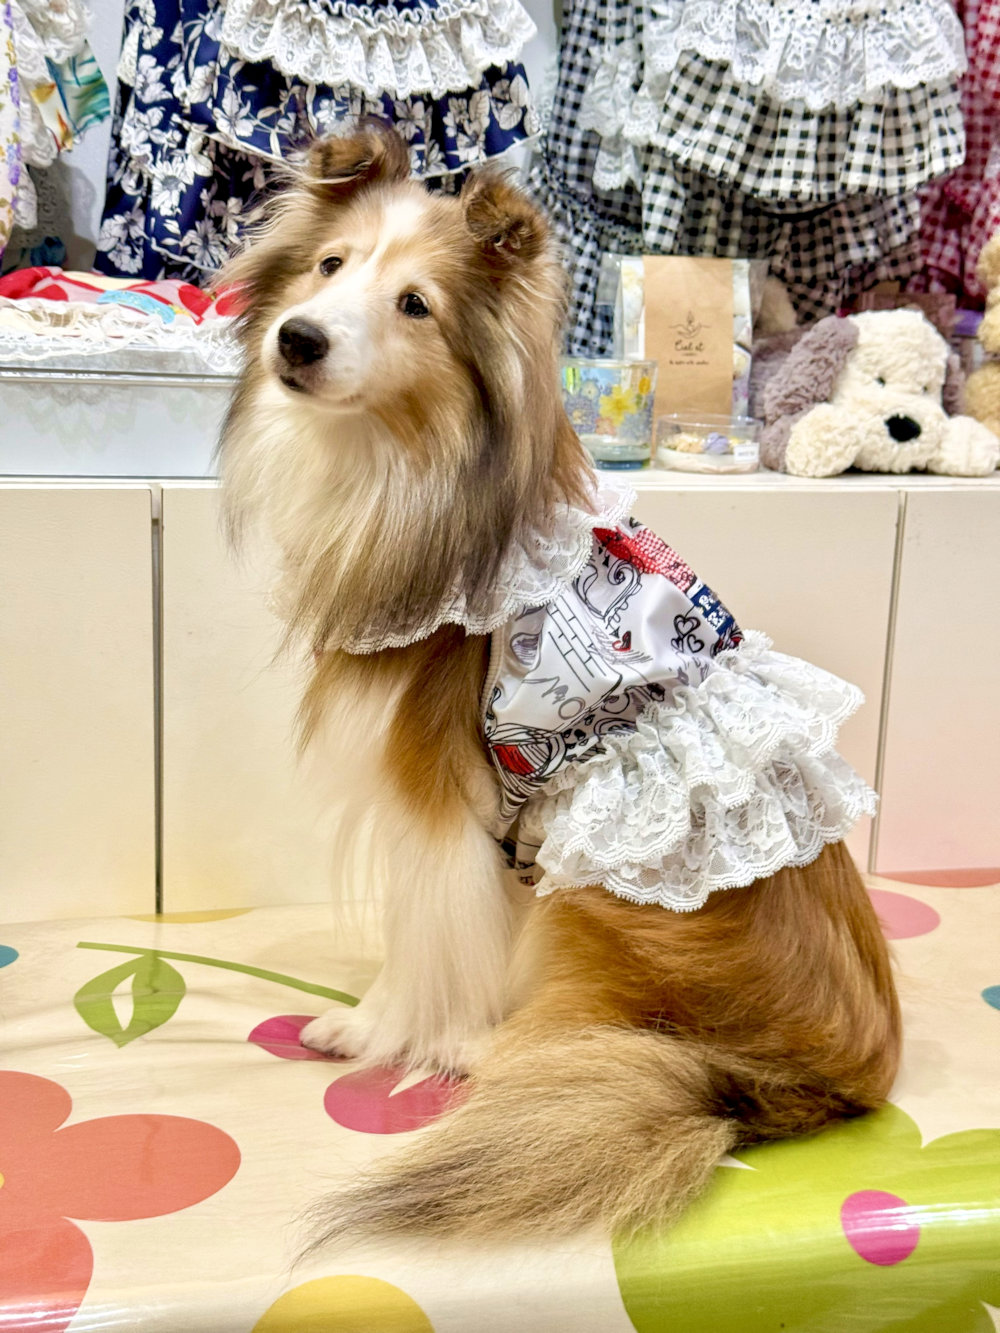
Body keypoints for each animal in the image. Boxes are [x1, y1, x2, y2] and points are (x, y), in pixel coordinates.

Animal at [218, 126, 901, 1244]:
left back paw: (493, 1053)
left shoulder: (436, 806)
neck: (413, 473)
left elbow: (423, 939)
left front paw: (377, 1028)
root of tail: (836, 1084)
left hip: (596, 895)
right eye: (328, 265)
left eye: (415, 304)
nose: (298, 340)